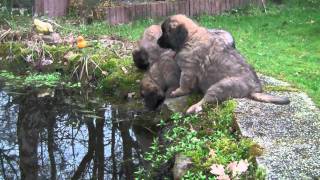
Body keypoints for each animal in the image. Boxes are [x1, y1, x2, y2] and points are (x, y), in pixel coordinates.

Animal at [158, 14, 290, 112]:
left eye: (165, 32)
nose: (158, 42)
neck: (190, 37)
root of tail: (255, 89)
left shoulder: (188, 70)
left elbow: (184, 84)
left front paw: (177, 91)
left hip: (221, 86)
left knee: (205, 101)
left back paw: (193, 107)